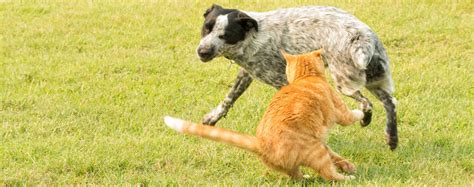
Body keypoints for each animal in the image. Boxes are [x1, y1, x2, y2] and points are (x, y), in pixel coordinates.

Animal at [165, 49, 364, 181]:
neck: (305, 76)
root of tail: (261, 143)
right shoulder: (339, 110)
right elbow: (350, 116)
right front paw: (362, 111)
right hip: (316, 151)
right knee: (329, 175)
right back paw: (348, 179)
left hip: (299, 160)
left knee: (297, 177)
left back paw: (308, 177)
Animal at [194, 4, 398, 150]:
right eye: (206, 28)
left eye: (225, 35)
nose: (202, 51)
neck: (252, 37)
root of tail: (362, 36)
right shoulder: (248, 72)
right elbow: (229, 98)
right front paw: (212, 118)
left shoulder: (282, 81)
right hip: (374, 77)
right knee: (389, 103)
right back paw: (391, 137)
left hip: (344, 80)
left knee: (367, 103)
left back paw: (371, 122)